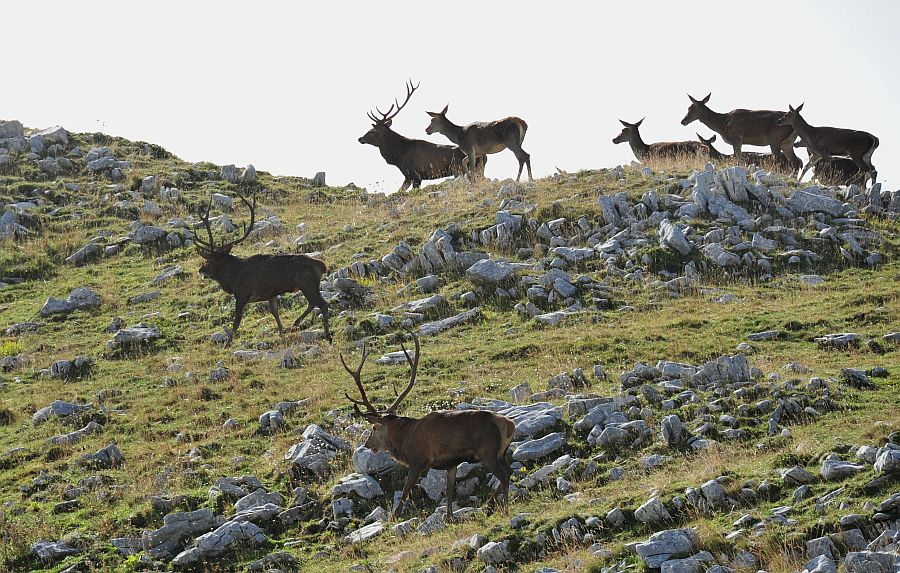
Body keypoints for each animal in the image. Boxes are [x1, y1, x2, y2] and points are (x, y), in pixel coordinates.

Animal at [192, 190, 330, 346]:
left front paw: (226, 345)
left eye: (208, 260)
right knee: (313, 303)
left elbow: (236, 321)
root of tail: (322, 266)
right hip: (307, 286)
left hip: (307, 284)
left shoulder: (242, 294)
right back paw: (295, 324)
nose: (200, 270)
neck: (233, 278)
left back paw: (327, 336)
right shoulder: (271, 294)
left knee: (322, 304)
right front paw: (282, 334)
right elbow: (275, 313)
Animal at [342, 330, 516, 520]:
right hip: (501, 453)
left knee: (504, 475)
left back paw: (505, 510)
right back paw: (489, 507)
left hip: (488, 452)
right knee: (509, 471)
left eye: (374, 428)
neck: (403, 439)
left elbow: (405, 491)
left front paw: (394, 517)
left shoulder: (418, 461)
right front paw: (449, 517)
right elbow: (449, 491)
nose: (367, 444)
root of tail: (510, 425)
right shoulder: (451, 464)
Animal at [358, 80, 486, 192]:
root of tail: (484, 156)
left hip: (458, 169)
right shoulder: (408, 176)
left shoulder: (416, 175)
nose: (360, 138)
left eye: (372, 131)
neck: (399, 155)